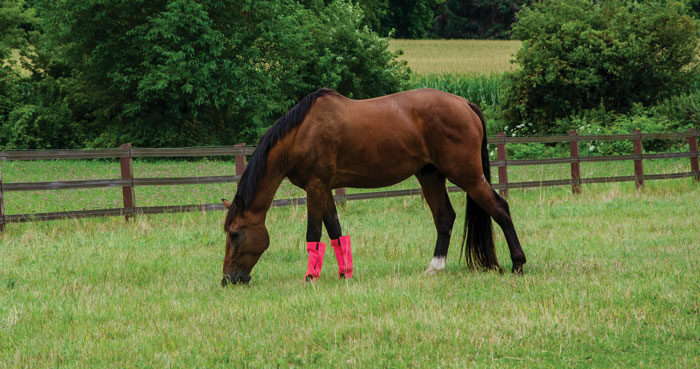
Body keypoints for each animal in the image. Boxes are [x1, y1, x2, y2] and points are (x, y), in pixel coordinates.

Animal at [219, 87, 524, 284]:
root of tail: (464, 104)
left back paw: (518, 263)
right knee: (444, 217)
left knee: (500, 209)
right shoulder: (325, 188)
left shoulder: (315, 187)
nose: (229, 279)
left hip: (467, 175)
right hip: (430, 176)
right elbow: (335, 230)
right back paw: (435, 267)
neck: (301, 134)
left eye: (234, 234)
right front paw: (344, 273)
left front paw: (310, 276)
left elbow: (314, 232)